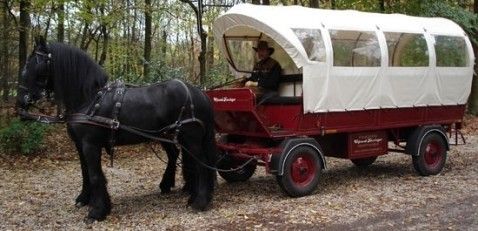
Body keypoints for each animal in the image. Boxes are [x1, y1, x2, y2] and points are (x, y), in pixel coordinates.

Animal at [15, 37, 217, 222]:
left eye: (34, 64)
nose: (20, 102)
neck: (90, 98)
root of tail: (199, 92)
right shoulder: (80, 145)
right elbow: (85, 172)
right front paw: (84, 199)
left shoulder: (90, 144)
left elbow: (95, 175)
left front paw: (97, 211)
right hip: (168, 135)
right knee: (179, 157)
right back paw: (182, 190)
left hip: (190, 138)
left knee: (202, 165)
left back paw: (200, 201)